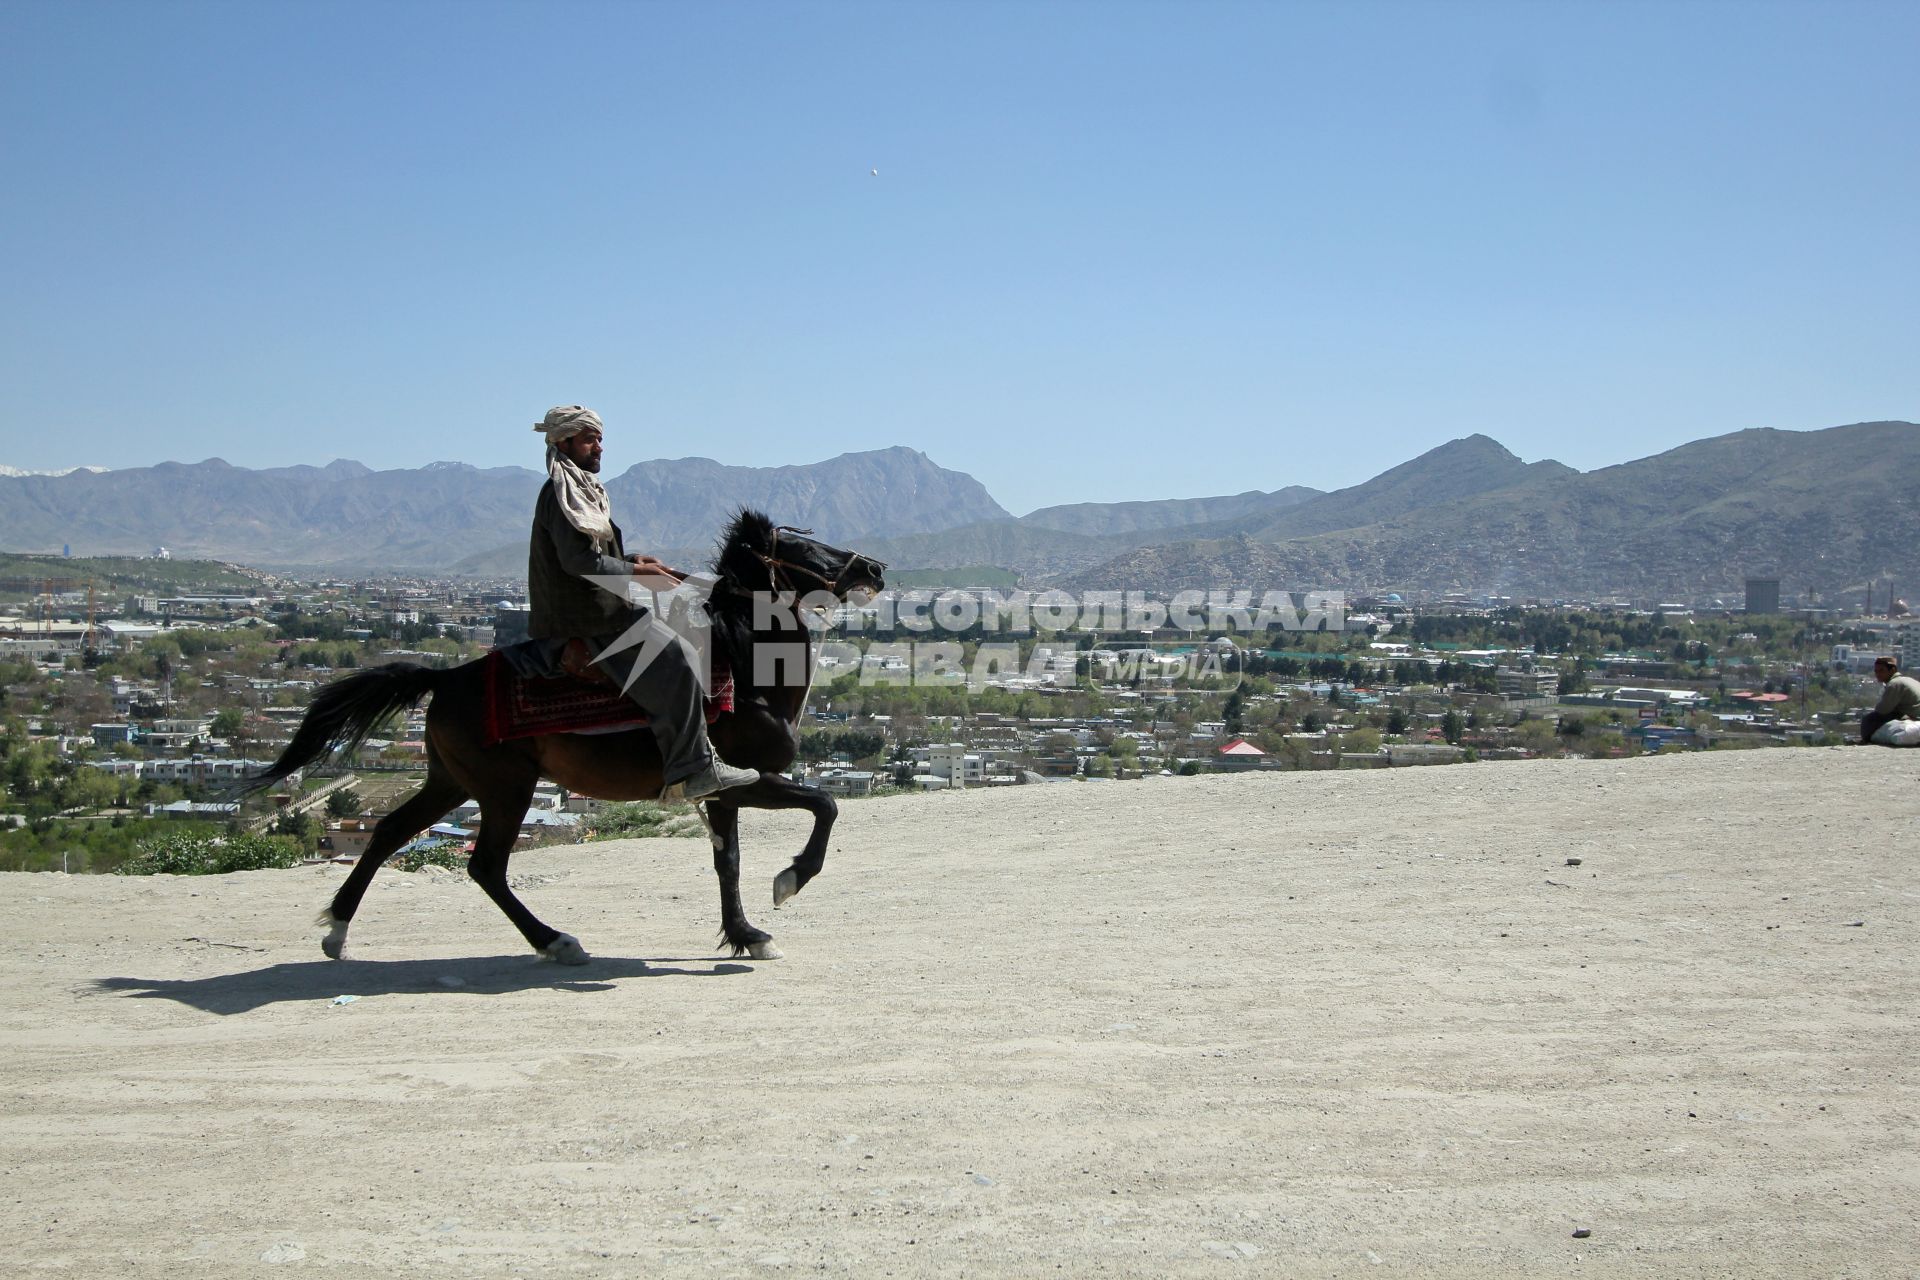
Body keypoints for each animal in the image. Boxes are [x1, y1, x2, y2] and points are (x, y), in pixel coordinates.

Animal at [243, 506, 887, 959]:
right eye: (801, 545)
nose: (874, 568)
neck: (742, 669)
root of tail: (445, 675)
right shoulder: (745, 779)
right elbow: (826, 805)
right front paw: (789, 880)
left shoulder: (721, 792)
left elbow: (727, 862)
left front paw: (747, 934)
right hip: (504, 788)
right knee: (485, 866)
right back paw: (555, 941)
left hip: (452, 780)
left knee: (388, 832)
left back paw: (337, 930)